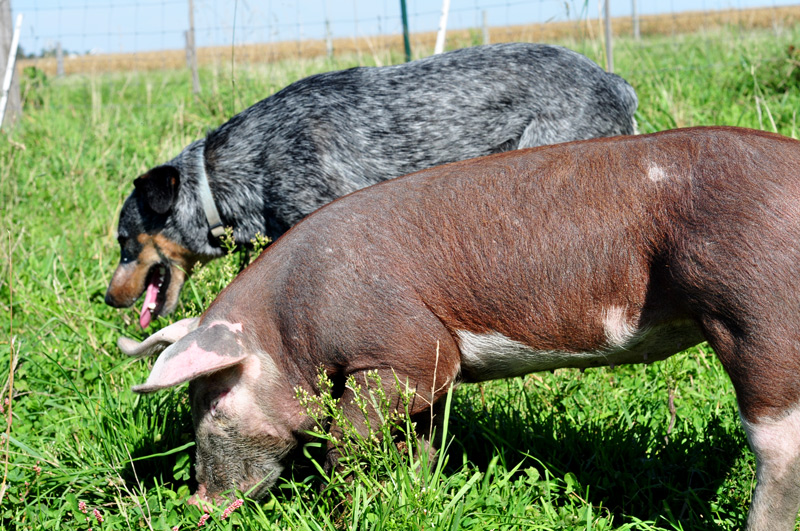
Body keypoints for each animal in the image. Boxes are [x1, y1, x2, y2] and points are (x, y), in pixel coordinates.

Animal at [123, 127, 800, 530]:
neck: (291, 331)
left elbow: (348, 436)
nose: (197, 504)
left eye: (212, 401)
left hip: (756, 310)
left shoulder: (405, 347)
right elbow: (421, 436)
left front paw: (345, 505)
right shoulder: (421, 375)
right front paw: (416, 488)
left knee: (778, 444)